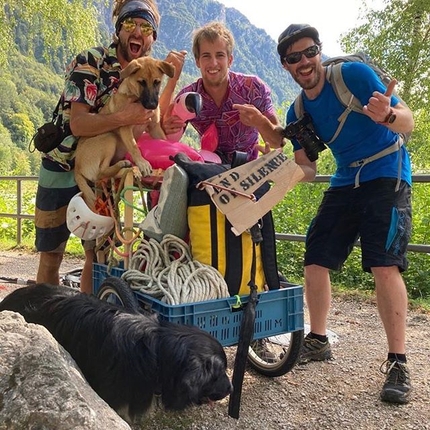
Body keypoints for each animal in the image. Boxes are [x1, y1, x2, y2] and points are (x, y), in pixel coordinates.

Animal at [74, 57, 175, 212]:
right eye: (141, 82)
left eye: (157, 82)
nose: (152, 105)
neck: (135, 98)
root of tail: (76, 167)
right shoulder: (125, 127)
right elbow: (134, 146)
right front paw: (142, 163)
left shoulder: (154, 127)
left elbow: (162, 139)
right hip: (109, 137)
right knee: (100, 173)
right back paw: (123, 165)